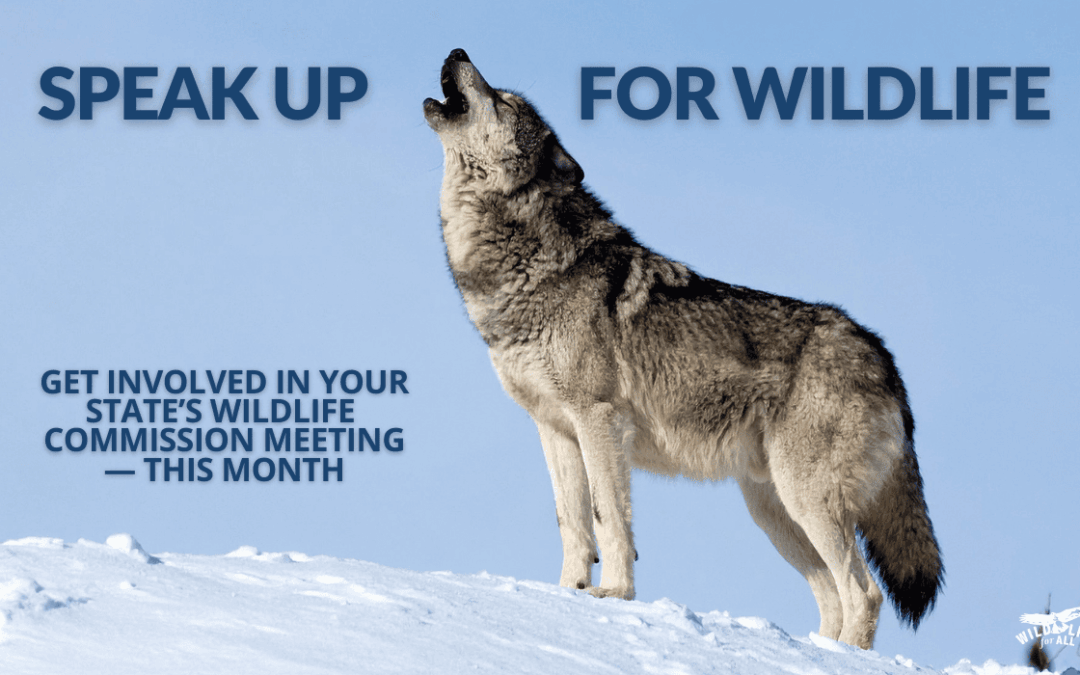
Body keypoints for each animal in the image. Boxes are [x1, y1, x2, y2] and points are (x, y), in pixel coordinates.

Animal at [423, 48, 943, 649]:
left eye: (504, 101)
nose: (457, 52)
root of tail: (882, 355)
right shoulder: (554, 428)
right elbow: (572, 524)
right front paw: (566, 592)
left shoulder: (598, 419)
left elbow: (608, 518)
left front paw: (613, 595)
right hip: (774, 512)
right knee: (833, 595)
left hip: (807, 500)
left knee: (865, 593)